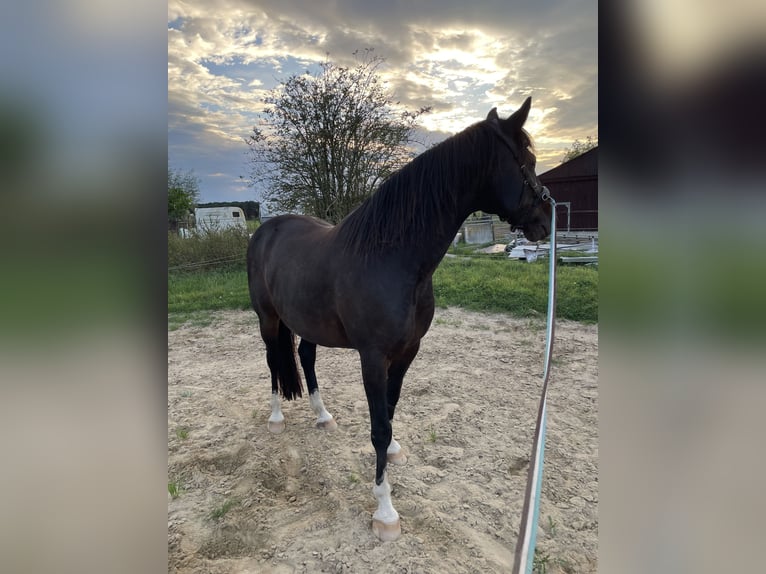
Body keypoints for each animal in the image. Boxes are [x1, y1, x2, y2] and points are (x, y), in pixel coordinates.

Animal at [246, 97, 552, 544]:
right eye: (527, 161)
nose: (546, 219)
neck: (393, 257)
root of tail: (265, 230)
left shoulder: (408, 351)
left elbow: (389, 412)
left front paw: (391, 454)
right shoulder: (373, 357)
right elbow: (378, 426)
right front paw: (385, 510)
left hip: (307, 322)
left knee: (305, 357)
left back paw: (323, 416)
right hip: (268, 320)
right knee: (272, 362)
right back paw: (275, 419)